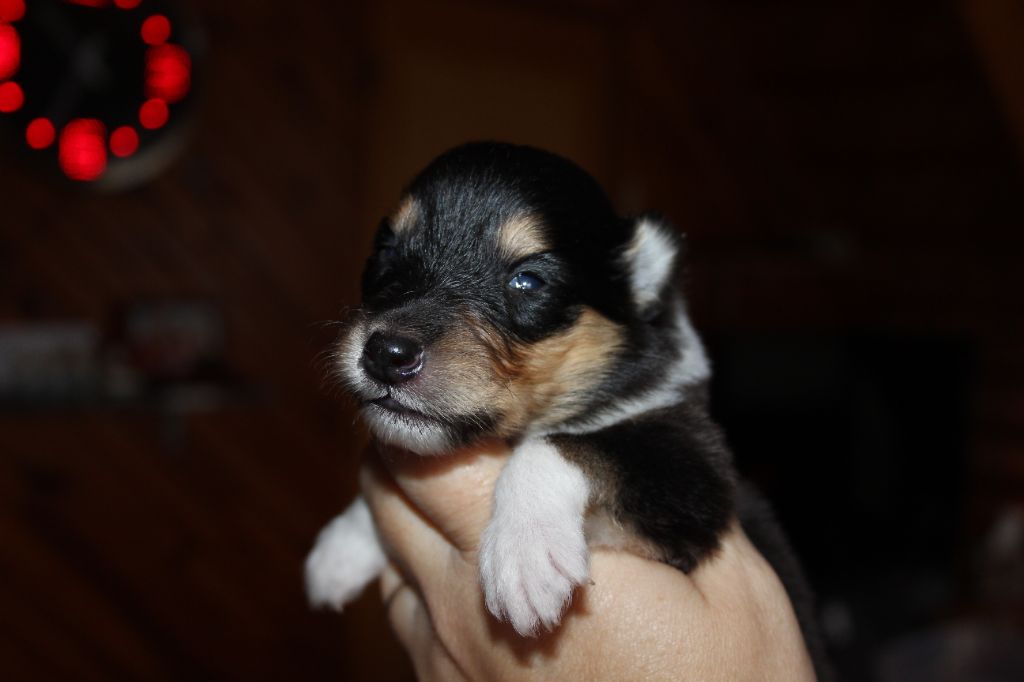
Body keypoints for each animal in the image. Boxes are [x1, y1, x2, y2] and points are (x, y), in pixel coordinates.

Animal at [306, 142, 829, 676]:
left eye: (528, 281)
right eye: (387, 253)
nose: (385, 355)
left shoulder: (693, 468)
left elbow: (561, 446)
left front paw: (524, 554)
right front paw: (343, 545)